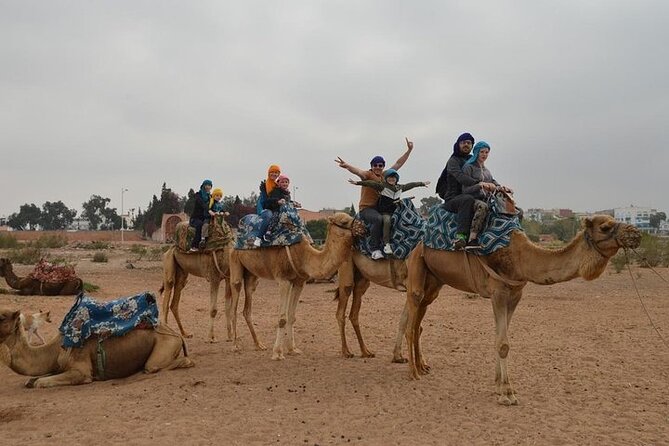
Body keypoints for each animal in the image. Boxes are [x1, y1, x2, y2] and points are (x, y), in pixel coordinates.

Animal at [0, 308, 193, 388]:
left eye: (2, 316)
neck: (55, 349)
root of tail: (177, 335)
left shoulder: (81, 371)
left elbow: (39, 382)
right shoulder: (58, 366)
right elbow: (31, 380)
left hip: (165, 345)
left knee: (155, 365)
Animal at [230, 211, 366, 360]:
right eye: (344, 221)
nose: (363, 228)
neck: (304, 256)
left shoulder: (299, 282)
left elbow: (291, 316)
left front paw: (292, 349)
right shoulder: (283, 280)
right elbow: (282, 318)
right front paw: (277, 353)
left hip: (252, 275)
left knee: (247, 306)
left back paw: (259, 344)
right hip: (235, 263)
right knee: (234, 302)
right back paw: (235, 346)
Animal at [404, 214, 640, 406]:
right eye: (605, 227)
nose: (636, 234)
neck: (521, 259)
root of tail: (418, 243)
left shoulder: (515, 294)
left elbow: (500, 338)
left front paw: (498, 384)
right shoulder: (498, 292)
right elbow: (503, 344)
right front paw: (507, 393)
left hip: (435, 281)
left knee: (418, 322)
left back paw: (422, 366)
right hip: (416, 267)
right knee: (412, 316)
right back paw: (413, 372)